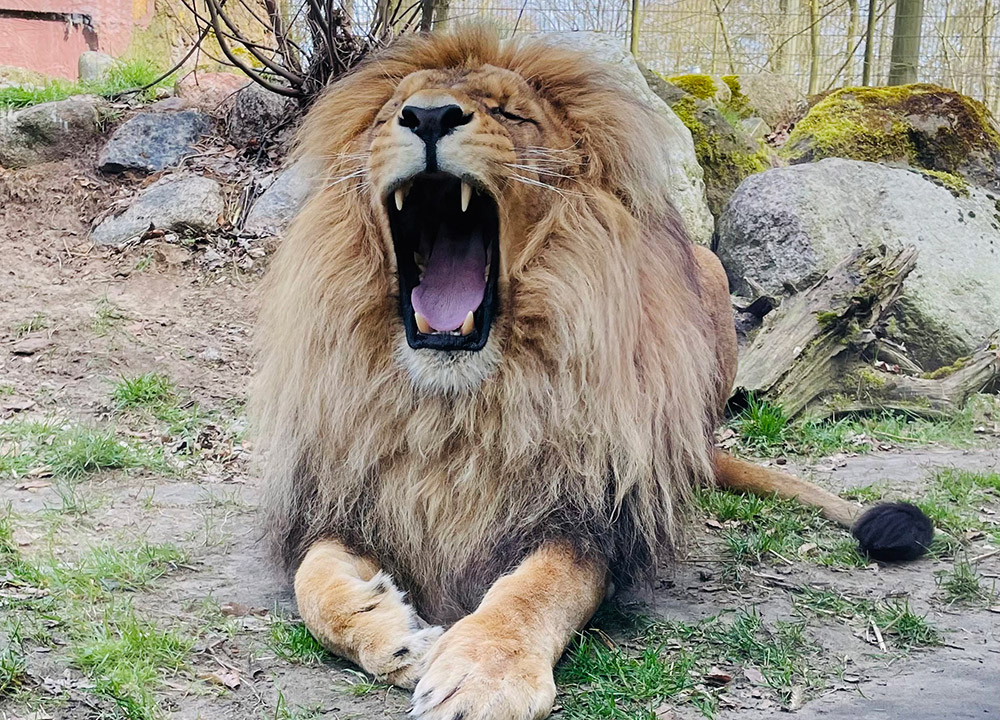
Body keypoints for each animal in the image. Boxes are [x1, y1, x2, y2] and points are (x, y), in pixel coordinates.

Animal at [252, 26, 936, 720]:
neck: (456, 401)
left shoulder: (591, 516)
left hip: (707, 278)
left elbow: (537, 587)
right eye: (395, 112)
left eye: (509, 114)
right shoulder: (343, 495)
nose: (430, 116)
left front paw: (483, 675)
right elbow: (314, 582)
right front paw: (396, 635)